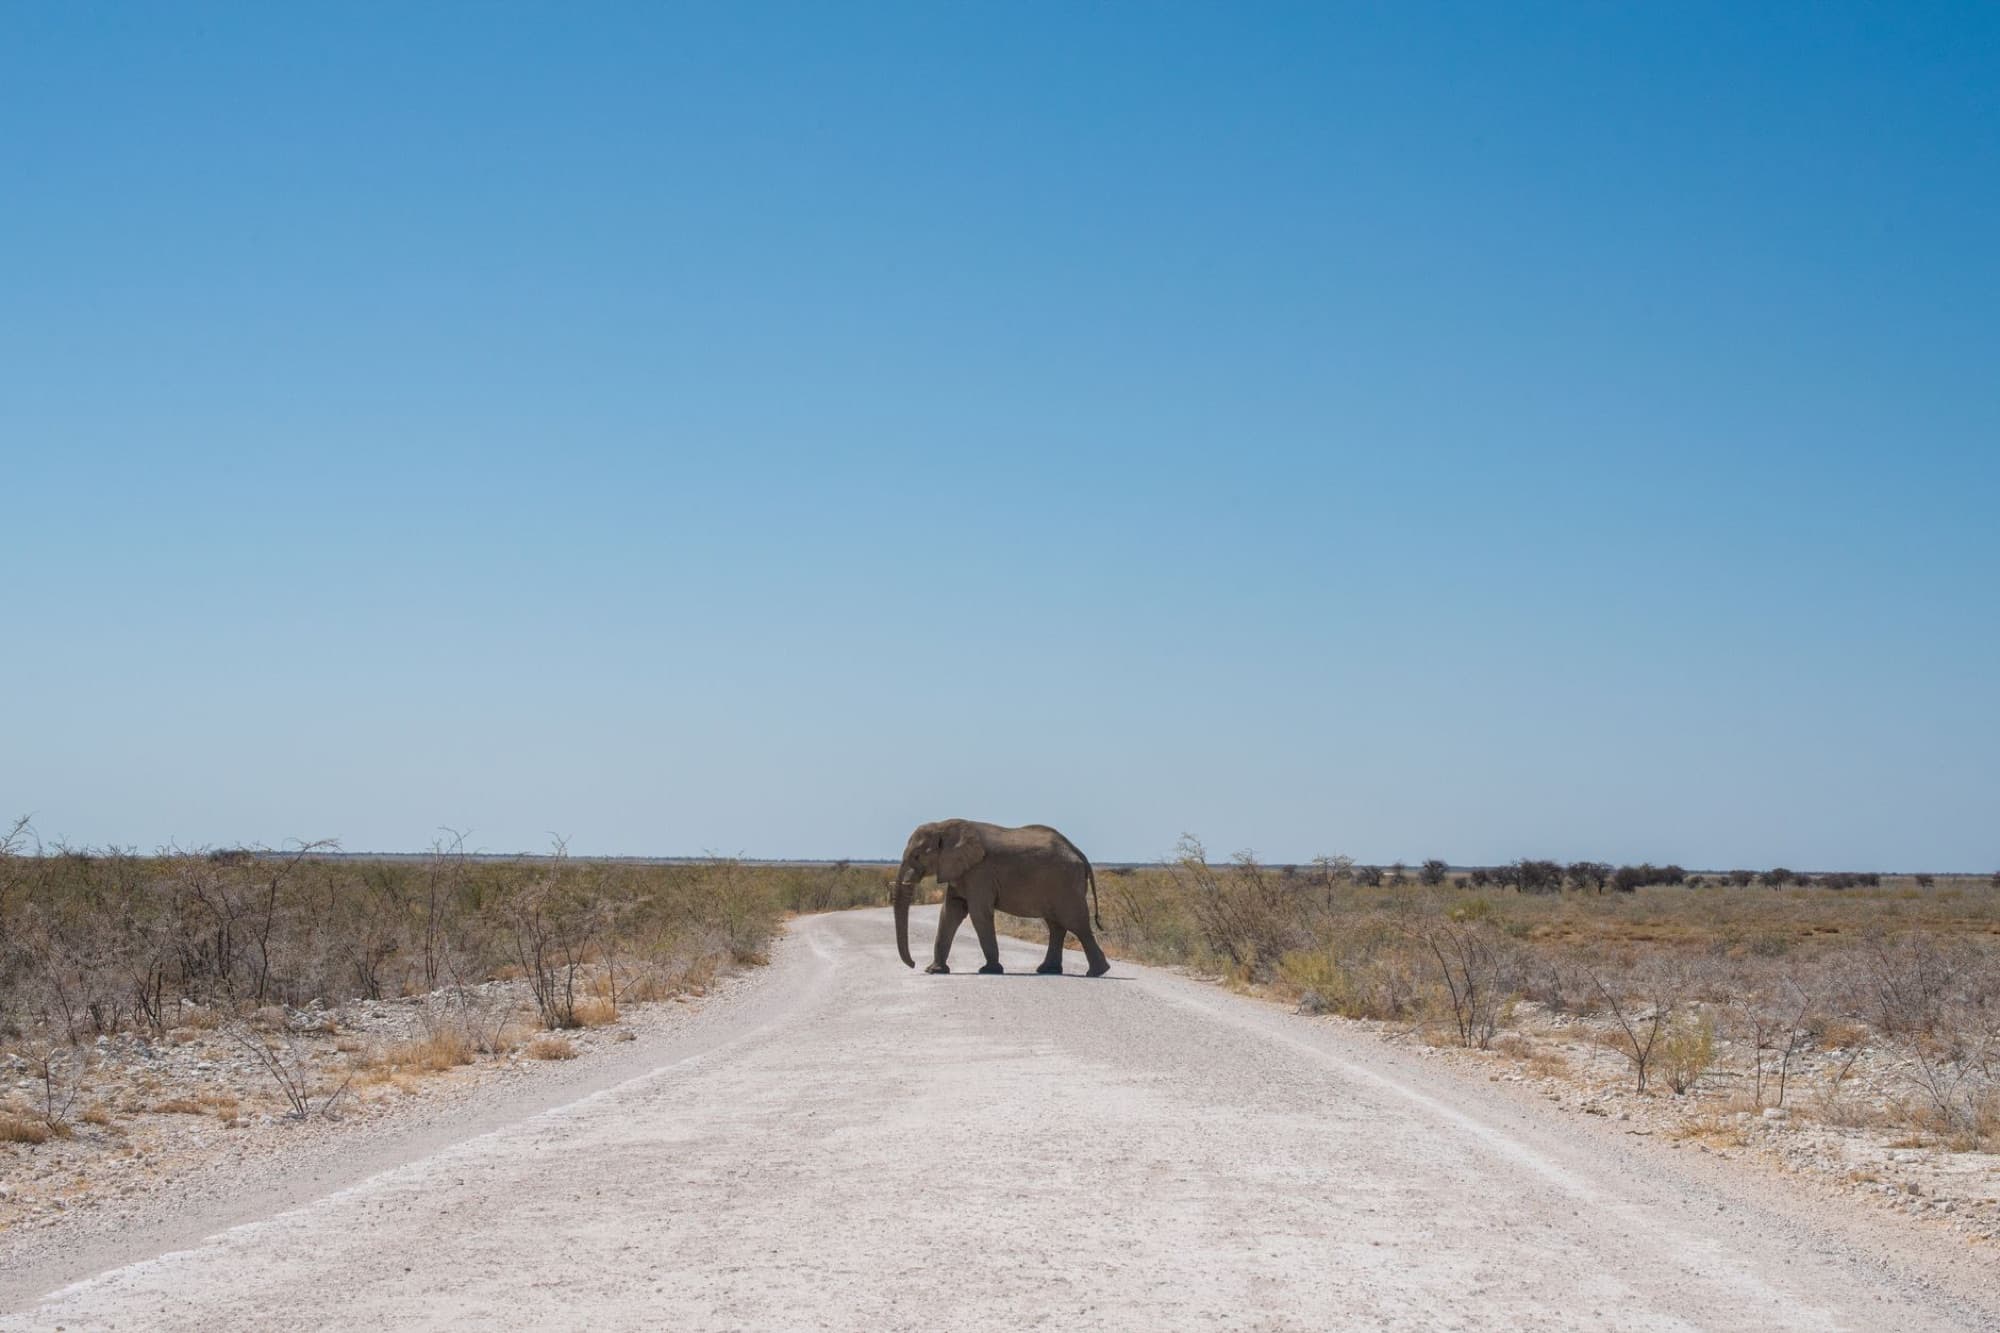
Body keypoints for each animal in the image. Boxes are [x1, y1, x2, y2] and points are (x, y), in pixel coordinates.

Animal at [890, 819, 1110, 977]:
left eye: (917, 856)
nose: (913, 964)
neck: (944, 826)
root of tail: (1079, 853)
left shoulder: (980, 873)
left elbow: (978, 913)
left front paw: (989, 970)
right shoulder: (961, 871)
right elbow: (950, 913)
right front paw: (934, 971)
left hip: (1066, 883)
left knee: (1076, 923)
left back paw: (1097, 972)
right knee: (1056, 925)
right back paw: (1048, 970)